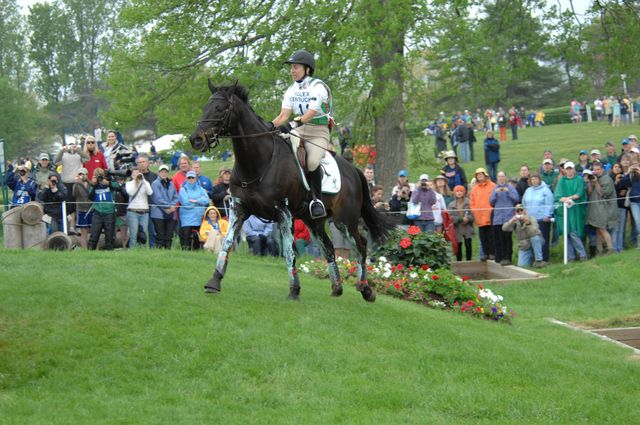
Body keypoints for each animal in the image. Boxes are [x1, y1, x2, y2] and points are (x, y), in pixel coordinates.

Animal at [188, 81, 392, 300]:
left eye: (219, 108)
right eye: (206, 107)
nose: (196, 139)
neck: (258, 163)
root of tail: (354, 170)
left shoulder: (283, 213)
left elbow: (288, 251)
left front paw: (294, 290)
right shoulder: (238, 210)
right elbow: (226, 243)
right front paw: (214, 281)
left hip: (344, 219)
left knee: (360, 245)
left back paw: (365, 289)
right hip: (313, 220)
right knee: (329, 247)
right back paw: (337, 287)